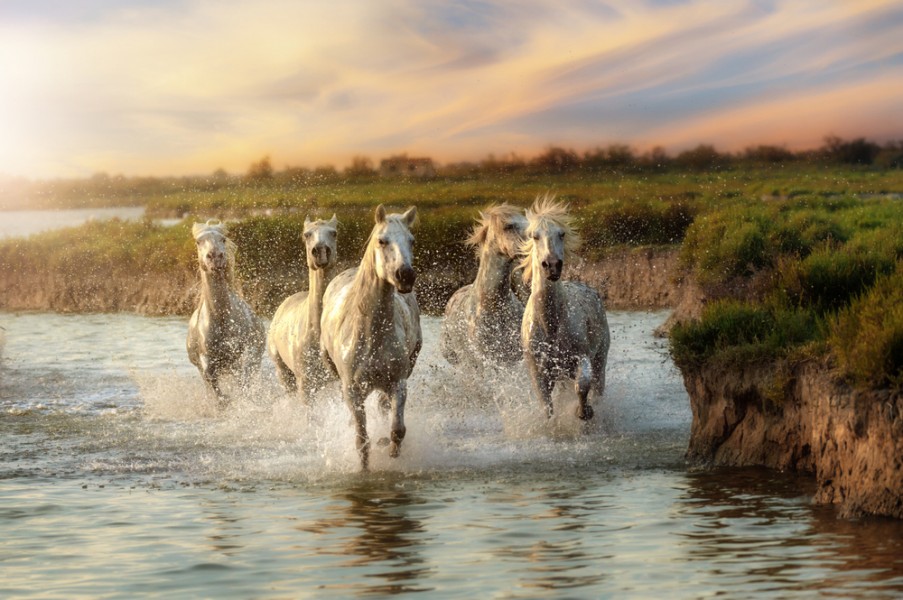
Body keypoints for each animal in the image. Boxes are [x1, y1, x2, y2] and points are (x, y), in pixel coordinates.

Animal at [186, 220, 264, 408]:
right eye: (198, 242)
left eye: (222, 238)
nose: (215, 257)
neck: (221, 319)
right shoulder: (206, 359)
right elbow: (212, 381)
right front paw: (225, 402)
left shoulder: (245, 352)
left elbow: (244, 377)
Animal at [320, 204, 422, 472]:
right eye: (382, 240)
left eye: (412, 240)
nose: (405, 275)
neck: (371, 333)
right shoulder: (353, 390)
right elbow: (361, 439)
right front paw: (364, 469)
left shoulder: (398, 383)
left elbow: (398, 429)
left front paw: (391, 450)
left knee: (384, 407)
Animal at [520, 195, 612, 420]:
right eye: (534, 236)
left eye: (561, 233)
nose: (552, 265)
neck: (550, 322)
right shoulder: (539, 374)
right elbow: (547, 407)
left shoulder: (582, 358)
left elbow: (583, 385)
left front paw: (584, 412)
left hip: (600, 360)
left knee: (597, 386)